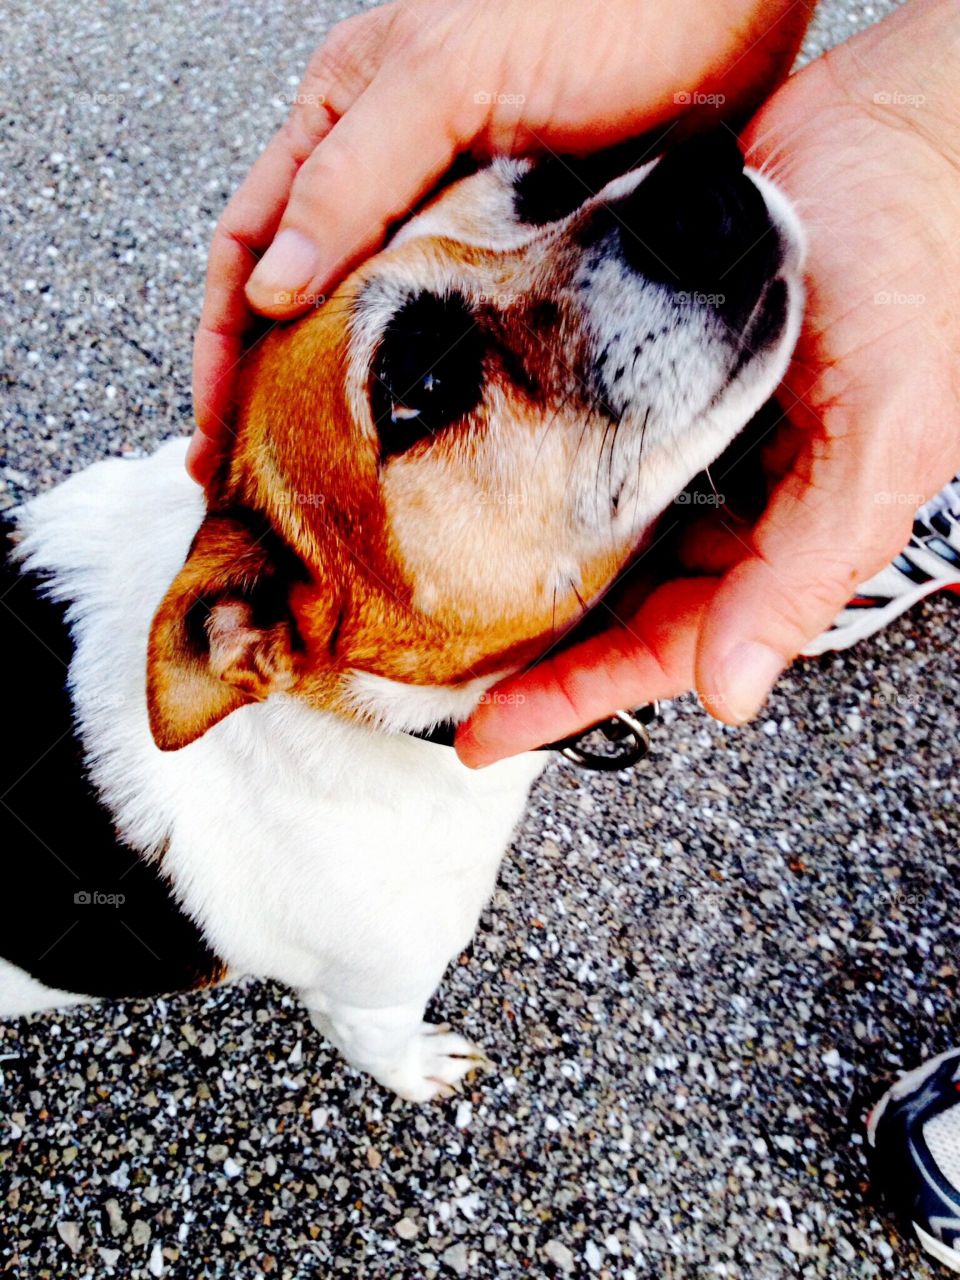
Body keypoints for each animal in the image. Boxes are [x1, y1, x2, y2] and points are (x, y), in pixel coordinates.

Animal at [1, 135, 803, 1105]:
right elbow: (383, 1046)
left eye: (556, 177)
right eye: (419, 381)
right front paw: (425, 1070)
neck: (365, 712)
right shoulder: (370, 995)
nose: (705, 189)